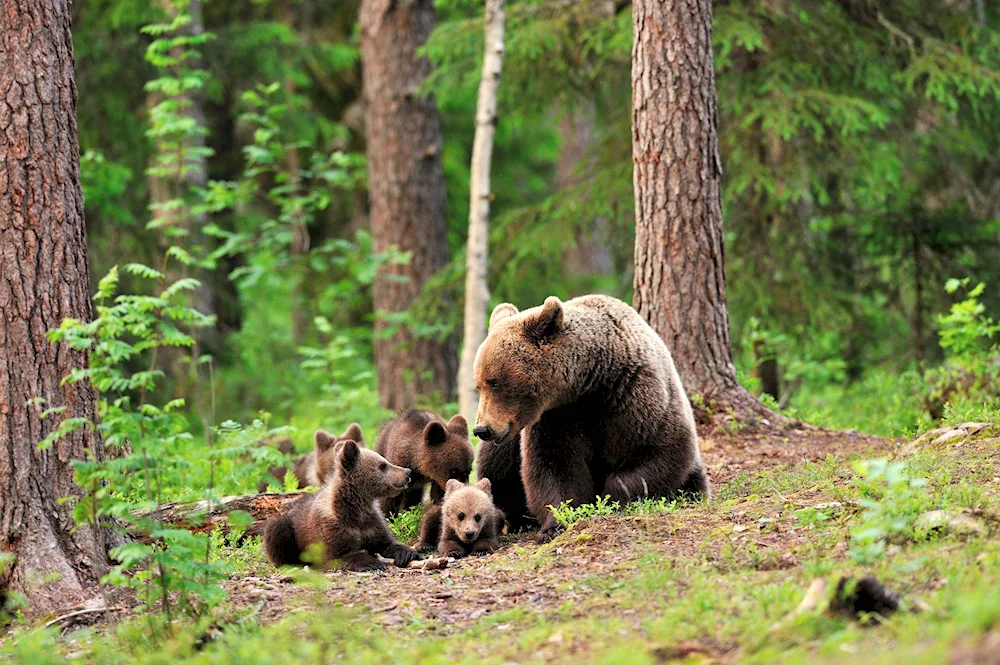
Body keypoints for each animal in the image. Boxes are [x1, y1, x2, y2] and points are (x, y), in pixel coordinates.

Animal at [472, 294, 708, 544]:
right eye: (479, 384)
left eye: (494, 382)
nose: (482, 429)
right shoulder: (558, 417)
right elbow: (554, 466)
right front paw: (554, 525)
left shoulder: (635, 396)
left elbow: (657, 451)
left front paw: (611, 499)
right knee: (496, 465)